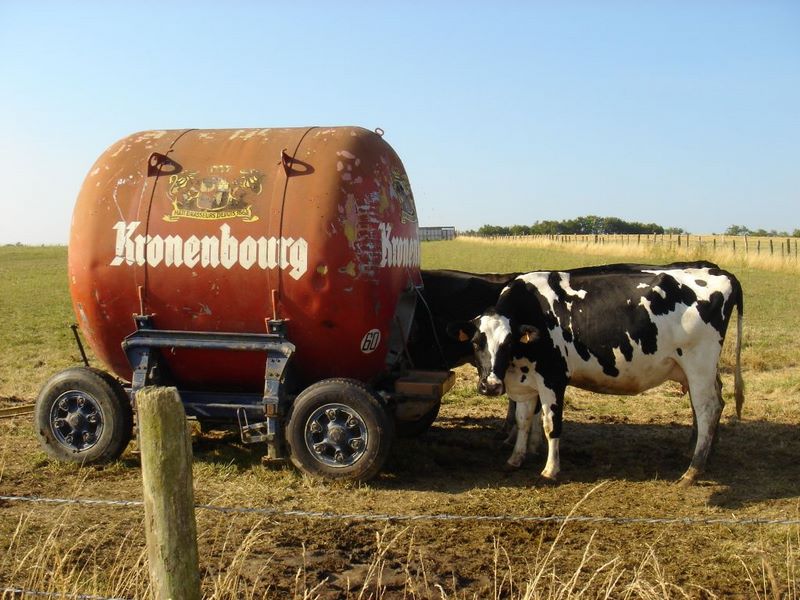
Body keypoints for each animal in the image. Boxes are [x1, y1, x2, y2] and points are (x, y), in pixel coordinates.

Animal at [454, 261, 744, 485]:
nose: (490, 385)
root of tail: (720, 273)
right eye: (476, 343)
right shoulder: (525, 380)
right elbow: (523, 420)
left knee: (707, 409)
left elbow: (551, 425)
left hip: (699, 366)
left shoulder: (554, 378)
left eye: (508, 343)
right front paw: (515, 459)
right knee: (713, 405)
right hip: (696, 371)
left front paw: (550, 470)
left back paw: (693, 470)